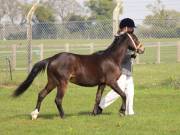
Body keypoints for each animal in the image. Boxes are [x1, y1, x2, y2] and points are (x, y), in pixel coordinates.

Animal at [12, 32, 144, 119]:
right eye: (135, 38)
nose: (142, 49)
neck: (111, 58)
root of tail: (52, 59)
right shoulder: (111, 82)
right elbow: (123, 94)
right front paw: (122, 112)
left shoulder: (102, 83)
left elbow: (98, 98)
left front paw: (94, 113)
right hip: (62, 83)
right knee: (58, 99)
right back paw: (63, 116)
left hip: (52, 82)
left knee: (41, 94)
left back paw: (35, 114)